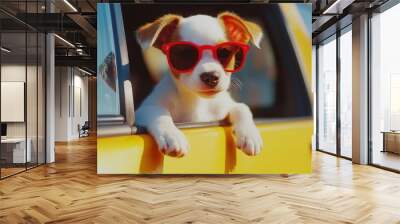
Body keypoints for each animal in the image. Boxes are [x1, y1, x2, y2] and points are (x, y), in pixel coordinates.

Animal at [136, 11, 264, 157]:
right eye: (185, 54)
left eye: (224, 53)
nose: (210, 76)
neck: (198, 102)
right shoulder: (144, 109)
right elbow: (159, 113)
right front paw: (172, 135)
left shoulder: (225, 105)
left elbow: (242, 108)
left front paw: (250, 135)